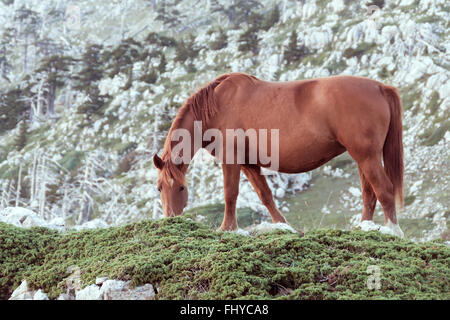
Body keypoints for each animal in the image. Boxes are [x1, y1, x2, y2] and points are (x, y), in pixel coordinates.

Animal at [153, 73, 406, 238]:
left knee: (384, 189)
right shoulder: (248, 163)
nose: (171, 218)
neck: (216, 106)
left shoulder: (231, 159)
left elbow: (230, 194)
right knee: (369, 193)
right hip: (363, 158)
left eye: (182, 188)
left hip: (367, 156)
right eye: (159, 188)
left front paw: (227, 228)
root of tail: (380, 87)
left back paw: (393, 230)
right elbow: (265, 195)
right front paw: (286, 227)